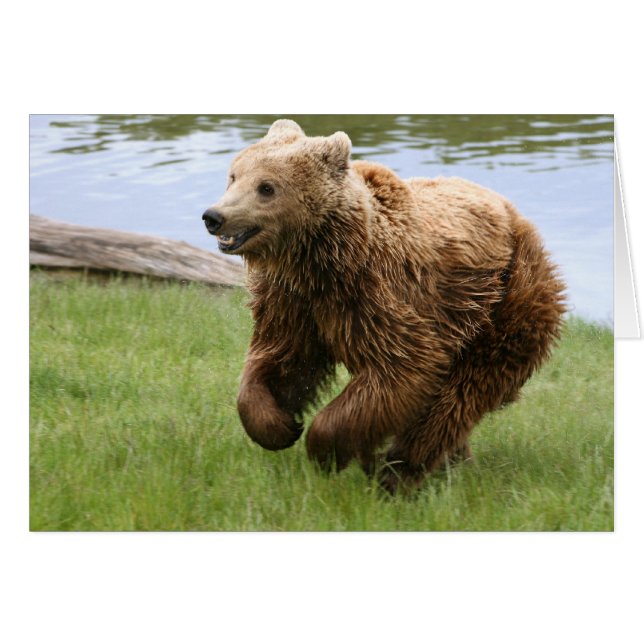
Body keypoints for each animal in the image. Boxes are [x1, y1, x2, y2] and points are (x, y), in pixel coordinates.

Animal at [202, 119, 567, 493]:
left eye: (266, 187)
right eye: (234, 176)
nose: (214, 216)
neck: (319, 260)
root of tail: (516, 216)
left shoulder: (378, 296)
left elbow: (402, 369)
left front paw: (324, 449)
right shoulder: (292, 302)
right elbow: (282, 359)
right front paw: (280, 426)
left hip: (503, 300)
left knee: (462, 393)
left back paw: (398, 471)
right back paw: (447, 462)